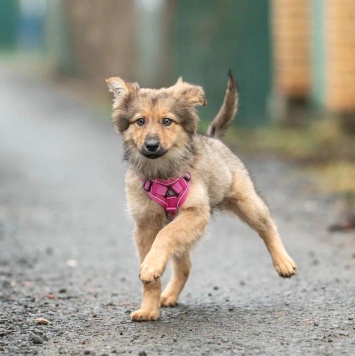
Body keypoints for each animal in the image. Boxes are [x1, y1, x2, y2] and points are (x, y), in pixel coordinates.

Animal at [105, 71, 298, 322]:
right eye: (140, 121)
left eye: (167, 121)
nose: (151, 145)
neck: (162, 174)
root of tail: (214, 138)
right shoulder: (145, 225)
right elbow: (152, 275)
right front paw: (148, 308)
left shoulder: (196, 213)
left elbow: (165, 235)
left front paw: (150, 267)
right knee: (185, 266)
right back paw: (169, 296)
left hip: (248, 203)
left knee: (268, 227)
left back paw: (283, 262)